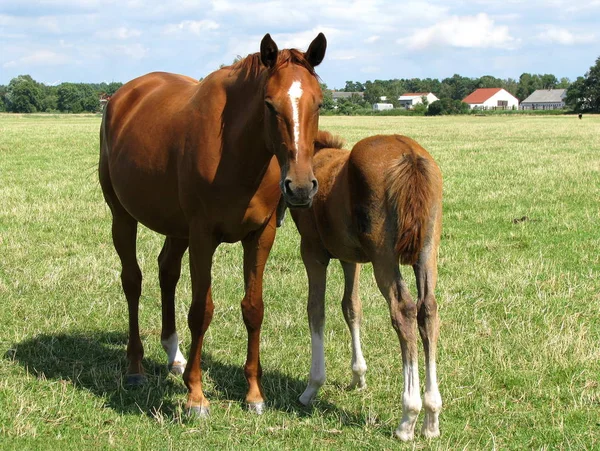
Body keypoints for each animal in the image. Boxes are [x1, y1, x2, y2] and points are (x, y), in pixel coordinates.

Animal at [97, 33, 328, 418]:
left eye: (319, 103)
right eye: (269, 105)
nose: (299, 187)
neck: (234, 151)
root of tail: (122, 97)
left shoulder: (260, 235)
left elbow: (253, 309)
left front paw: (254, 394)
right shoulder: (203, 236)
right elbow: (201, 311)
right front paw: (195, 396)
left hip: (177, 229)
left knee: (166, 272)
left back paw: (174, 355)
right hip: (123, 217)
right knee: (133, 281)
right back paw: (135, 368)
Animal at [290, 132, 446, 442]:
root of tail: (410, 155)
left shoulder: (312, 251)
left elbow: (316, 310)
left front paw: (312, 387)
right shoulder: (351, 258)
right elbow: (352, 308)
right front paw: (358, 375)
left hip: (383, 255)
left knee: (403, 310)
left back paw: (408, 417)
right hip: (427, 251)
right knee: (428, 310)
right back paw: (431, 416)